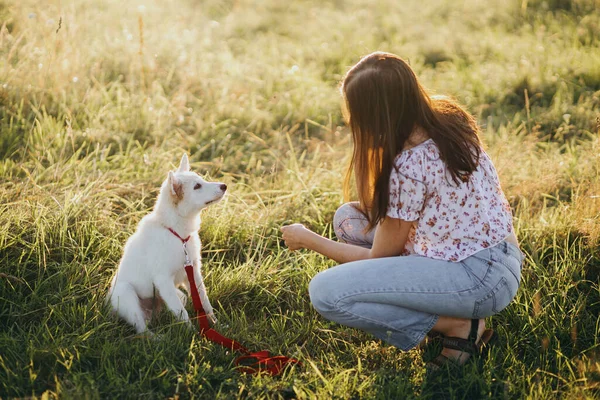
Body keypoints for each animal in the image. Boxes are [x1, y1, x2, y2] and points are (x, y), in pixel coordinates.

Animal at [106, 153, 224, 334]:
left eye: (201, 180)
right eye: (197, 186)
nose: (224, 186)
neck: (178, 235)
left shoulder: (194, 273)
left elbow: (204, 302)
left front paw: (216, 324)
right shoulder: (163, 280)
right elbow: (181, 312)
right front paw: (193, 335)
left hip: (173, 296)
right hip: (126, 294)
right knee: (142, 329)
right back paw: (157, 337)